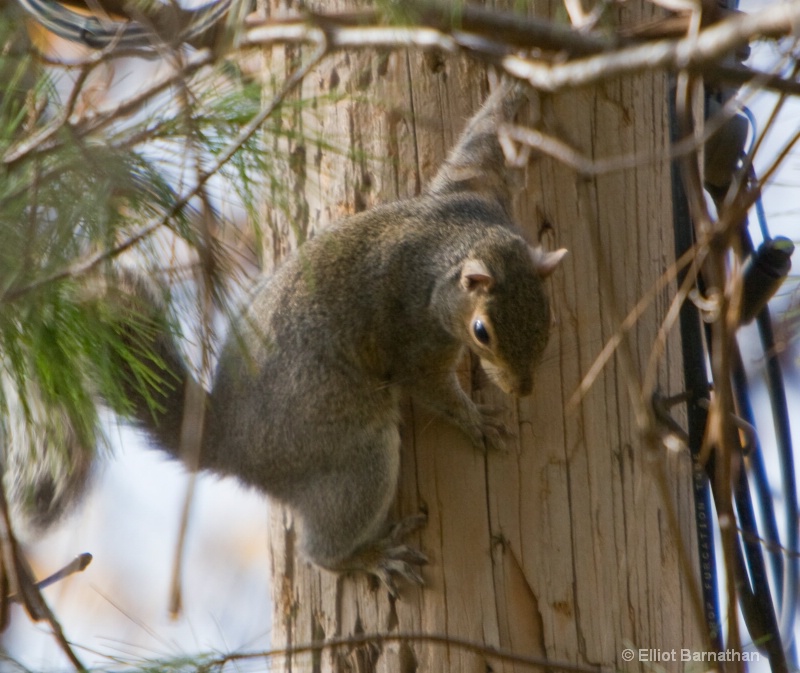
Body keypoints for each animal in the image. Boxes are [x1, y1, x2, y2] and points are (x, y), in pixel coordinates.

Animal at [14, 79, 564, 592]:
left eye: (548, 318)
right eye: (481, 332)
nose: (524, 389)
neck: (453, 246)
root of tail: (231, 444)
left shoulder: (469, 189)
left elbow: (482, 141)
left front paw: (520, 81)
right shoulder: (415, 335)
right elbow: (430, 386)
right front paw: (475, 421)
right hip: (350, 450)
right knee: (321, 546)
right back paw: (368, 557)